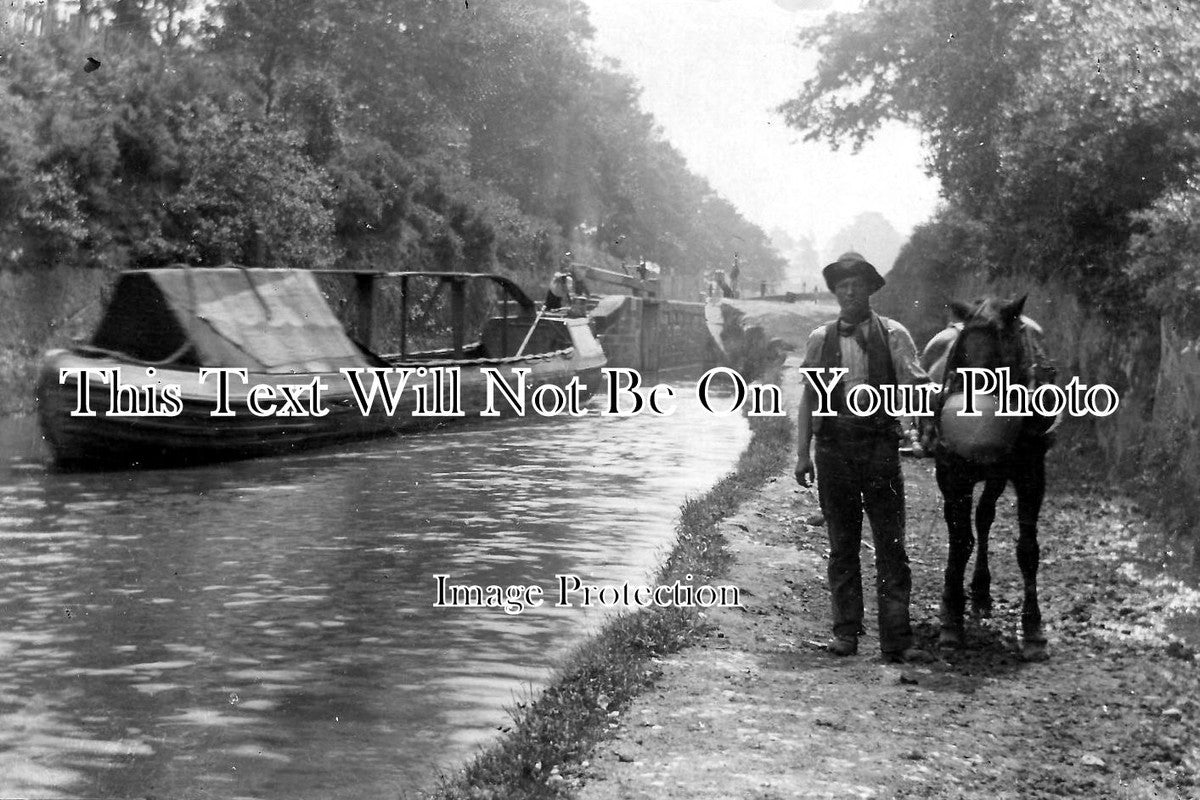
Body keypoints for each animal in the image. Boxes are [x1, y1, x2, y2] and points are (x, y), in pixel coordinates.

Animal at [916, 297, 1060, 662]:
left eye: (1002, 357)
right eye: (959, 355)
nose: (970, 411)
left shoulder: (1031, 471)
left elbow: (1028, 548)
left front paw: (1033, 629)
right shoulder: (953, 472)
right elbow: (959, 542)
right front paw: (951, 619)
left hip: (997, 475)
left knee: (984, 516)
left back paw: (981, 590)